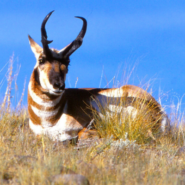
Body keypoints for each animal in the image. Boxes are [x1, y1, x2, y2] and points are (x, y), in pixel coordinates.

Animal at [27, 11, 169, 142]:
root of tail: (160, 110)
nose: (59, 85)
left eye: (67, 62)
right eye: (41, 60)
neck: (49, 119)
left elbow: (81, 134)